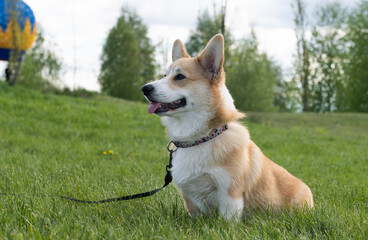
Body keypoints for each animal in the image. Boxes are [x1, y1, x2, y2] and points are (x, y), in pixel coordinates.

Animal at [142, 34, 314, 220]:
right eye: (164, 75)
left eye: (180, 77)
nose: (145, 88)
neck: (200, 138)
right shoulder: (190, 196)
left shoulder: (229, 193)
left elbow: (226, 220)